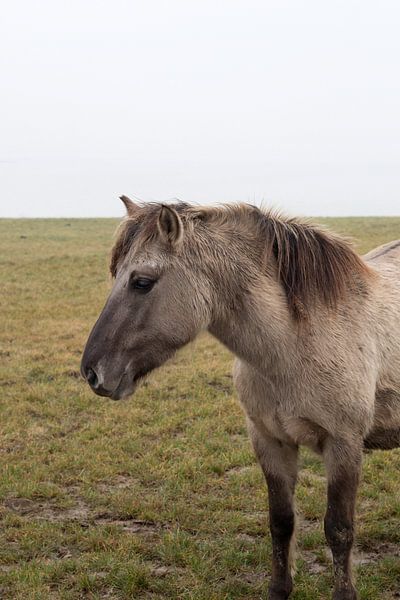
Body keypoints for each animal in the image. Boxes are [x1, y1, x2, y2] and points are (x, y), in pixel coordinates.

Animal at [79, 198, 398, 600]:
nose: (91, 372)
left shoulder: (345, 445)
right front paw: (279, 589)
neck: (296, 345)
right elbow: (281, 521)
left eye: (142, 282)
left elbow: (339, 529)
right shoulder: (269, 441)